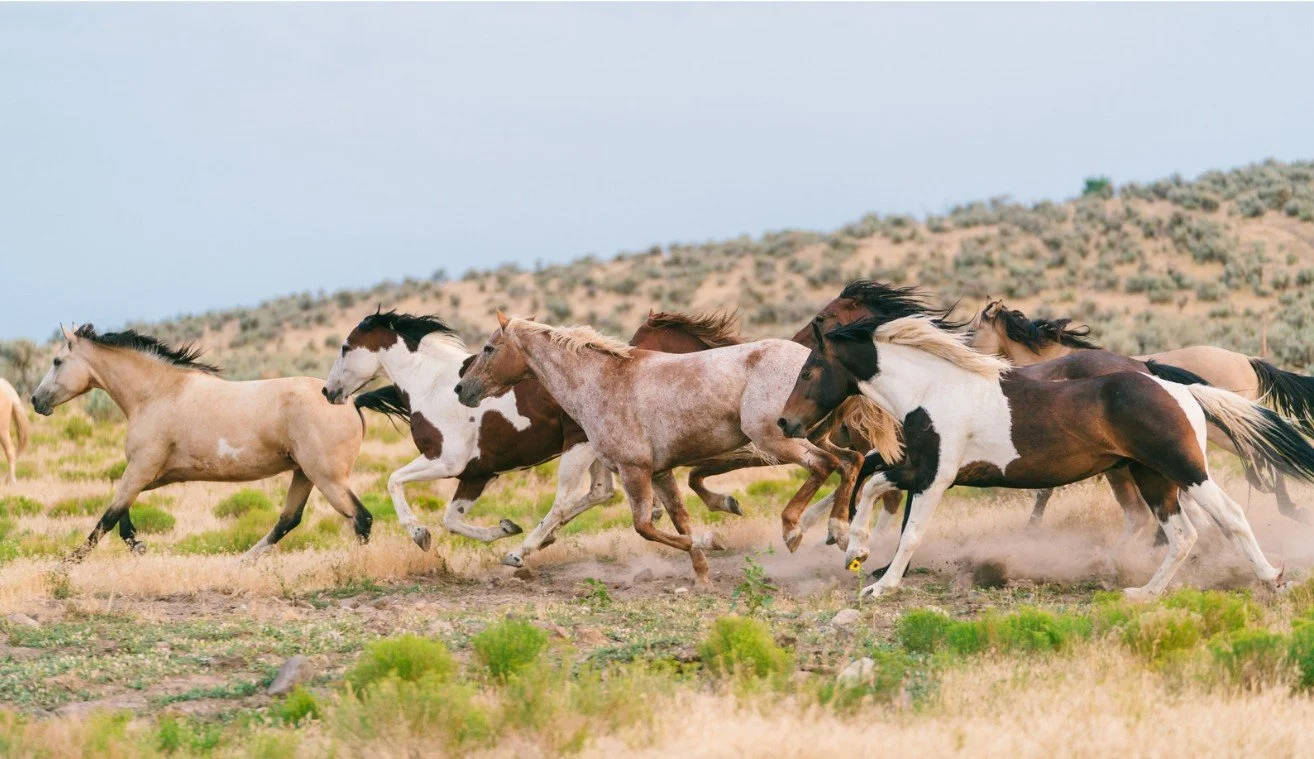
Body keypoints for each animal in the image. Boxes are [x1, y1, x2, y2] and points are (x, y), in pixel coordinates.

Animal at [30, 324, 394, 562]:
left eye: (57, 361)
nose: (36, 400)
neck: (156, 392)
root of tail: (352, 400)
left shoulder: (142, 468)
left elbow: (108, 516)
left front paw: (69, 563)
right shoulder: (154, 475)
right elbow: (121, 510)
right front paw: (137, 544)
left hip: (327, 477)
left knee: (360, 518)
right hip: (304, 473)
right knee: (288, 520)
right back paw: (242, 562)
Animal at [455, 313, 860, 583]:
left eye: (489, 348)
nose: (462, 389)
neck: (600, 382)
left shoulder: (635, 470)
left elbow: (644, 527)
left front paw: (712, 540)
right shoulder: (662, 472)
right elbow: (680, 519)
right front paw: (702, 574)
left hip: (775, 438)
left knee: (824, 465)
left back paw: (795, 531)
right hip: (809, 435)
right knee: (849, 462)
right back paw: (841, 533)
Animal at [972, 301, 1313, 524]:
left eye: (973, 332)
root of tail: (1247, 359)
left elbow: (1045, 490)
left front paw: (1032, 526)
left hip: (1225, 431)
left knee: (1264, 453)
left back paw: (1287, 506)